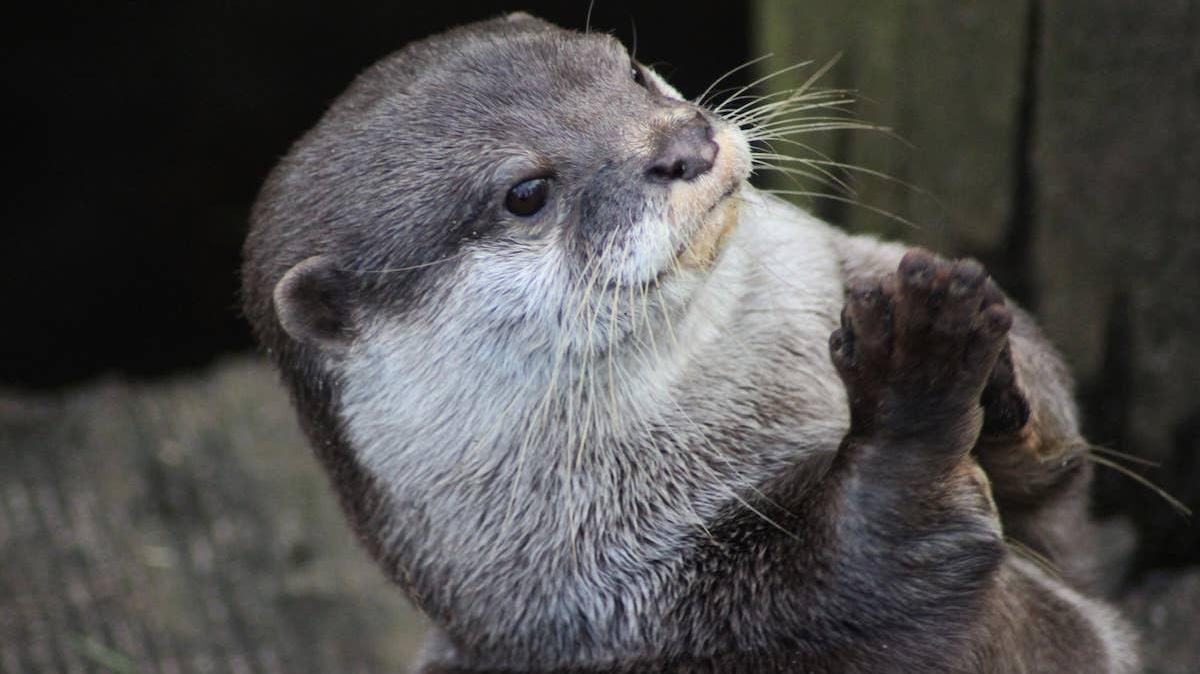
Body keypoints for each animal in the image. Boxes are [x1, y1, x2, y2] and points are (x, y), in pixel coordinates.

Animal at [241, 13, 1137, 673]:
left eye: (631, 71)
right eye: (526, 193)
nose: (685, 145)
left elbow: (1063, 492)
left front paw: (995, 380)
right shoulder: (660, 613)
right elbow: (881, 563)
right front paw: (917, 388)